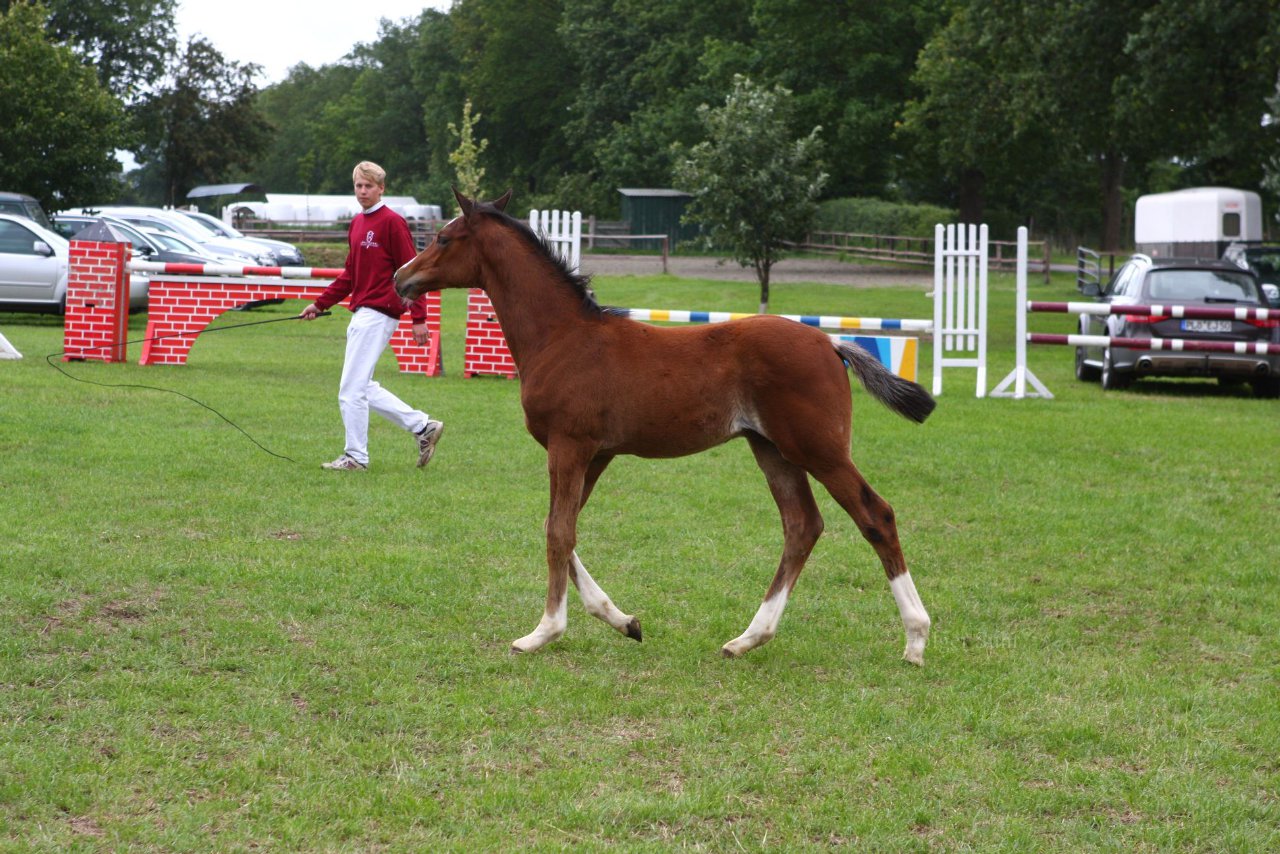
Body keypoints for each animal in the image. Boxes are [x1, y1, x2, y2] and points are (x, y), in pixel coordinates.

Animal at [394, 190, 936, 665]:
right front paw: (623, 621)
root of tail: (830, 344)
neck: (562, 337)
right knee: (802, 524)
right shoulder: (596, 453)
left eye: (444, 237)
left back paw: (915, 638)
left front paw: (543, 632)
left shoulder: (569, 446)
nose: (401, 278)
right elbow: (560, 528)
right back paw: (747, 639)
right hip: (771, 448)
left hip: (817, 448)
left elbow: (558, 533)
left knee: (875, 514)